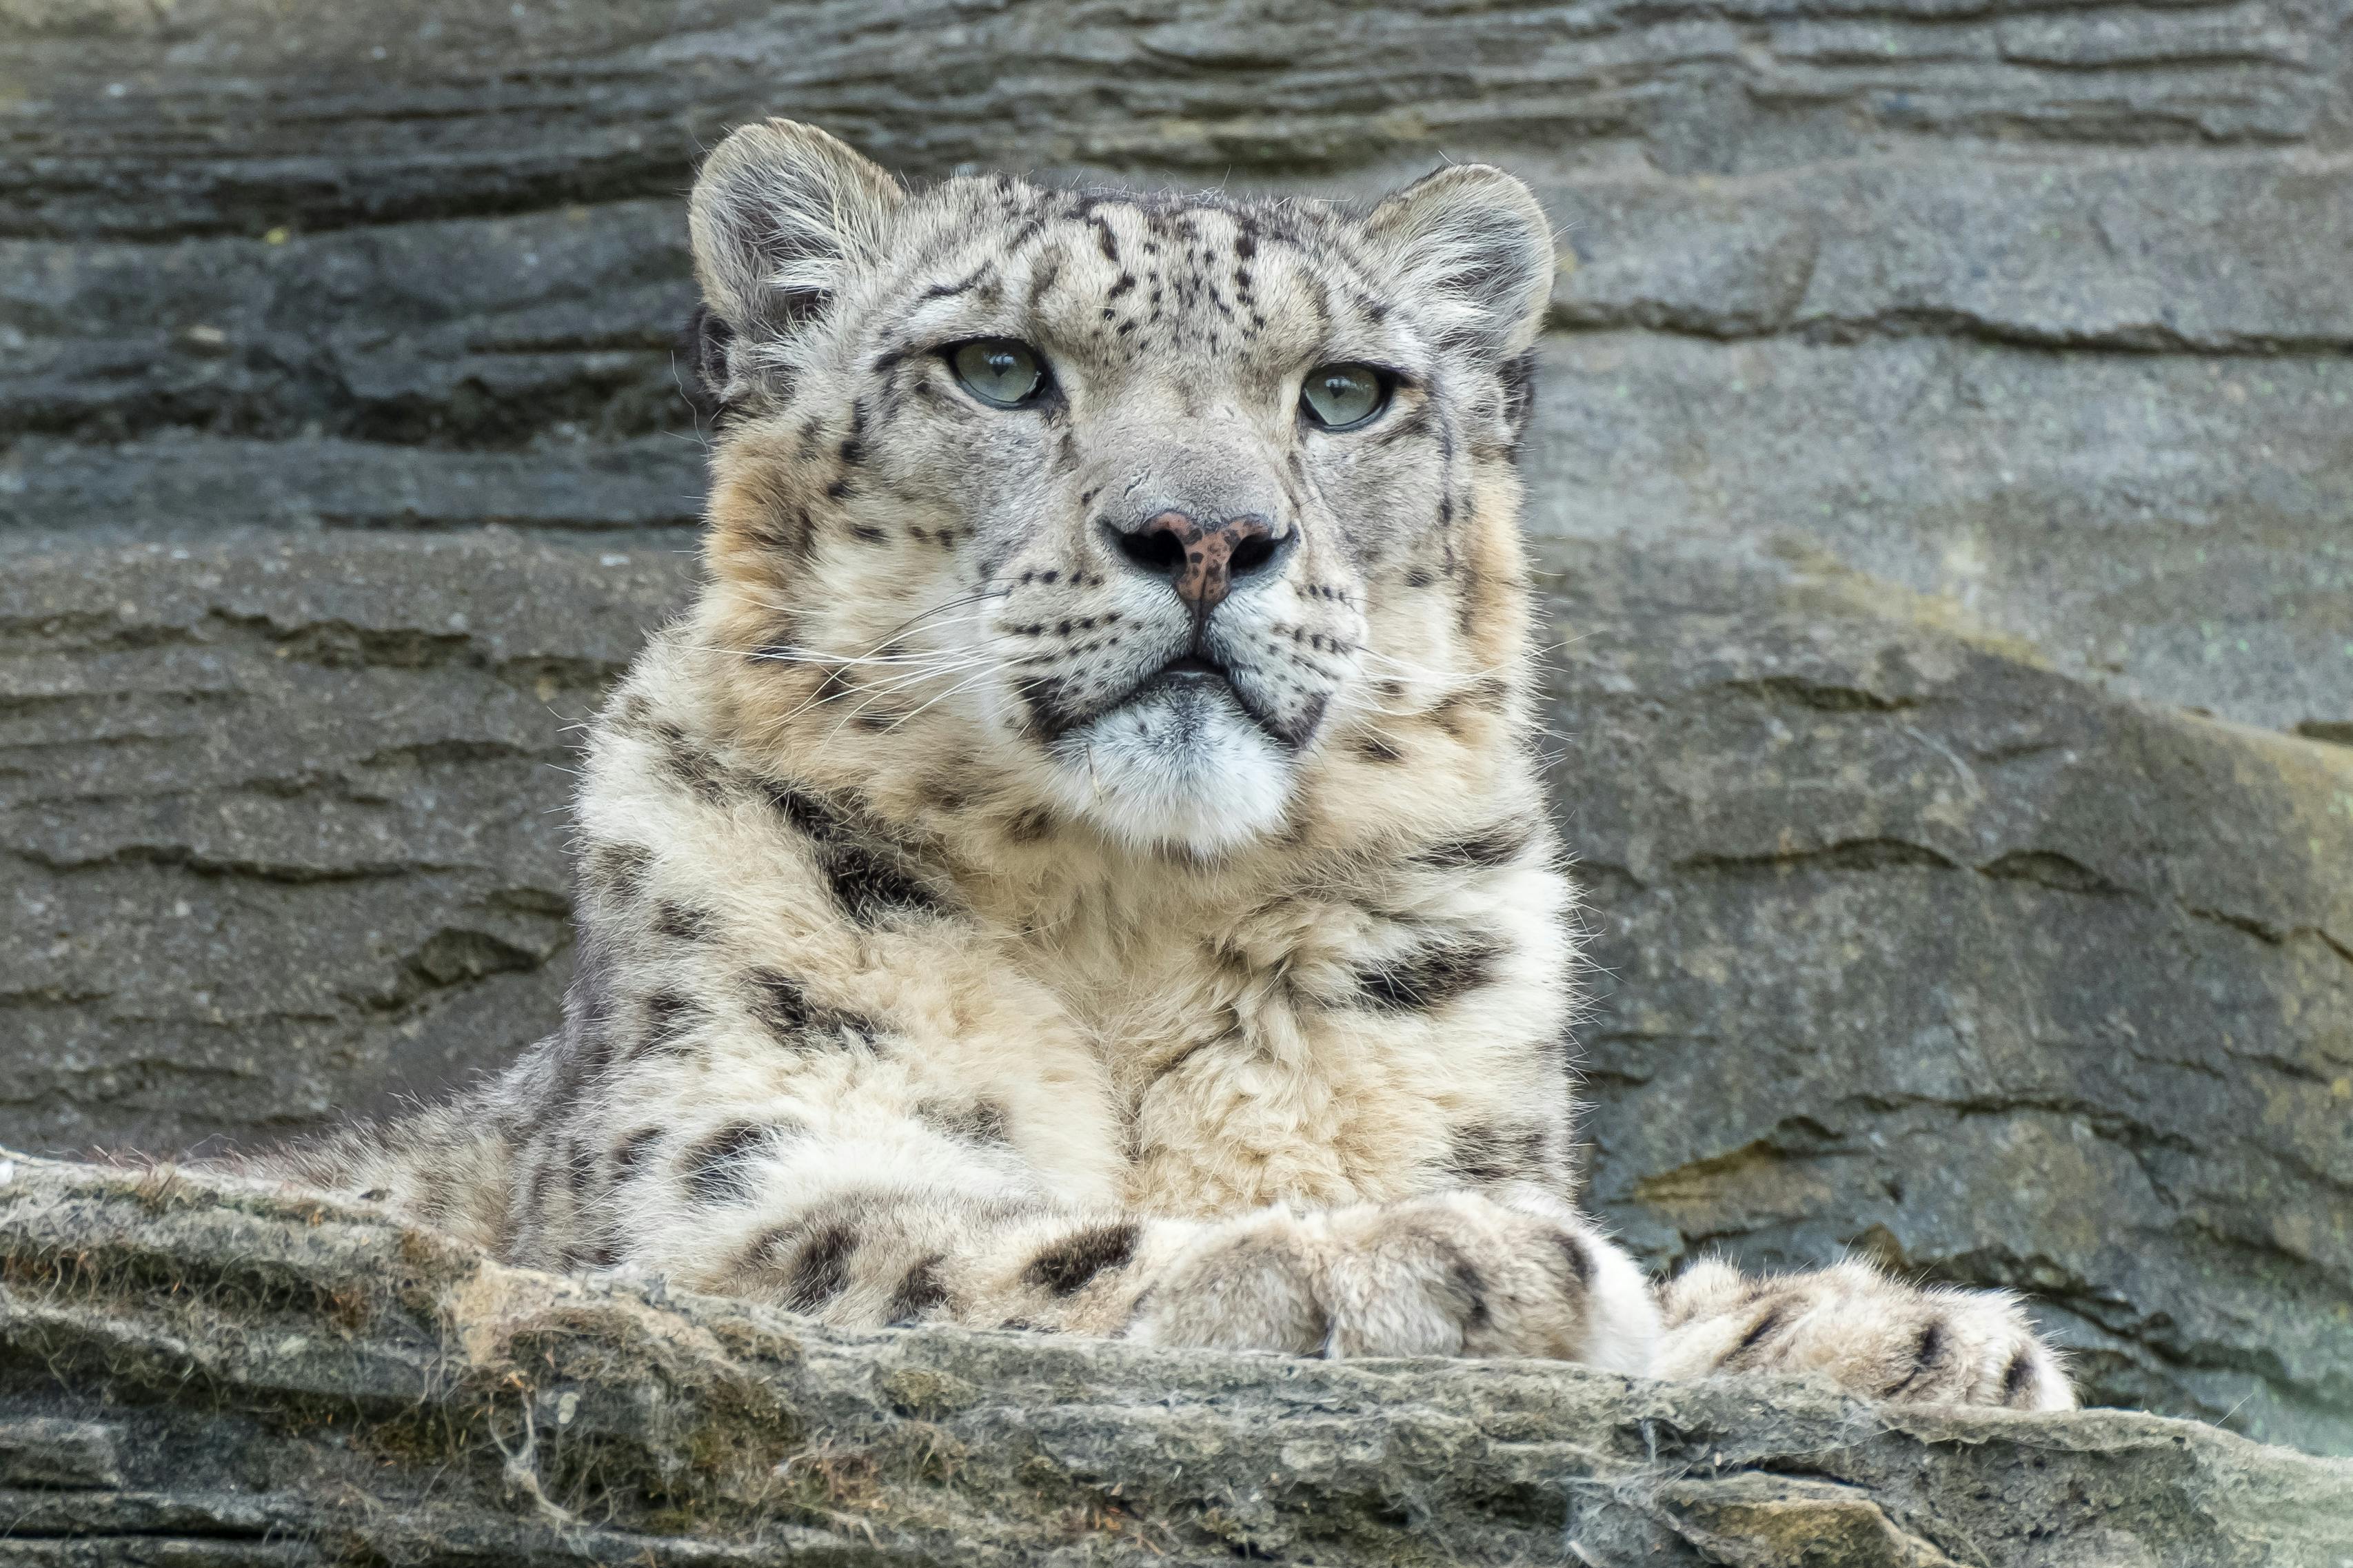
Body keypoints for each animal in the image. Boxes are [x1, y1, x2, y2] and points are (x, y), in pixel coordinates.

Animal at [257, 123, 2070, 1410]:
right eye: (997, 366)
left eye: (1344, 393)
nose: (1205, 534)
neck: (1126, 919)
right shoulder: (707, 1196)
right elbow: (971, 1250)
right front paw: (1448, 1265)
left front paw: (1905, 1339)